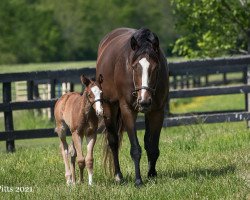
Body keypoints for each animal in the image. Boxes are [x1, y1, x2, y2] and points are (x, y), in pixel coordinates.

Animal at [96, 27, 169, 186]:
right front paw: (138, 180)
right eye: (135, 67)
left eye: (156, 67)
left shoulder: (157, 111)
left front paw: (152, 174)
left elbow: (152, 146)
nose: (144, 101)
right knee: (113, 141)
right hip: (109, 107)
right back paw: (118, 175)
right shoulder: (128, 110)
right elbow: (135, 149)